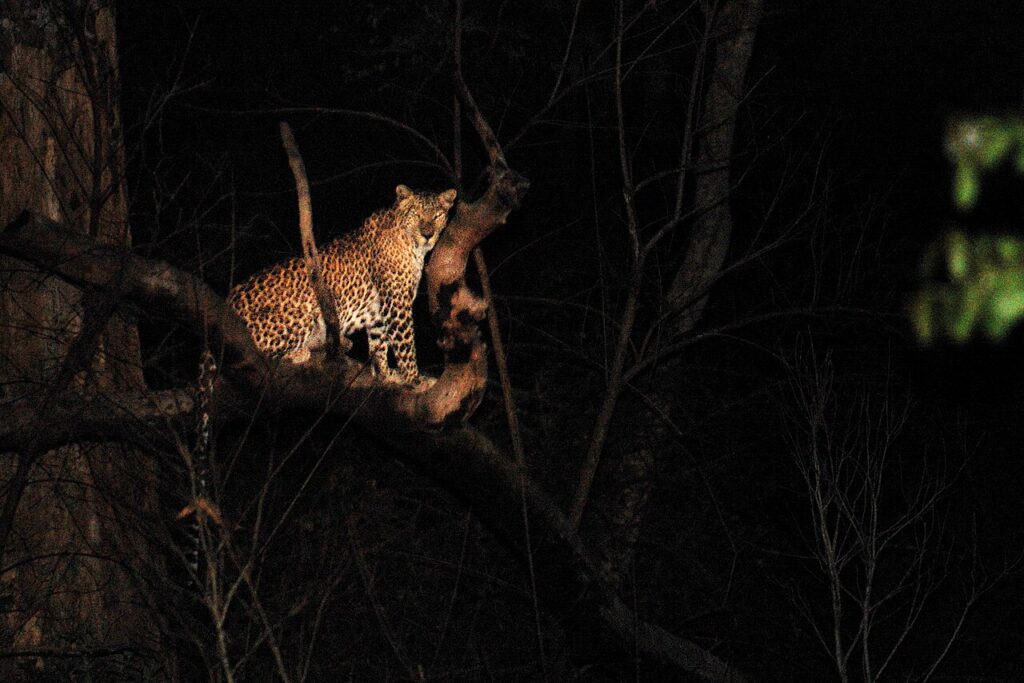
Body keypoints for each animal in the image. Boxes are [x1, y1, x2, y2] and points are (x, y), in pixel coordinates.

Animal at [228, 184, 457, 385]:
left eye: (437, 216)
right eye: (416, 215)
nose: (427, 235)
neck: (412, 246)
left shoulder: (379, 309)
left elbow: (378, 342)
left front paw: (384, 373)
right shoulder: (397, 302)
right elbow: (405, 344)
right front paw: (414, 379)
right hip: (301, 314)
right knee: (266, 350)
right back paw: (301, 352)